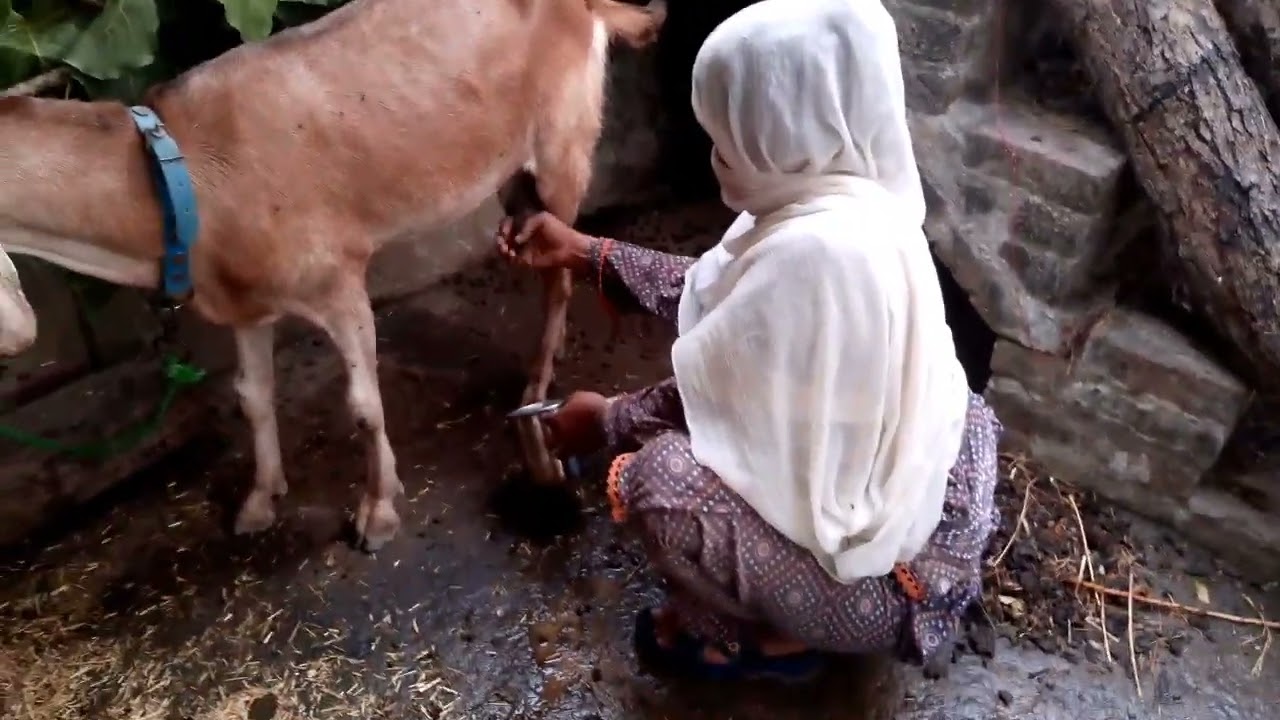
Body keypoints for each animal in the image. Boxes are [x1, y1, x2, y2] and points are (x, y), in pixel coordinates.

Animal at [0, 0, 667, 551]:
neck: (180, 172)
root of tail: (587, 4)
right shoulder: (247, 303)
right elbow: (251, 397)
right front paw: (260, 499)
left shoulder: (336, 280)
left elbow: (363, 405)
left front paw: (377, 512)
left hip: (563, 143)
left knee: (560, 274)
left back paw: (537, 387)